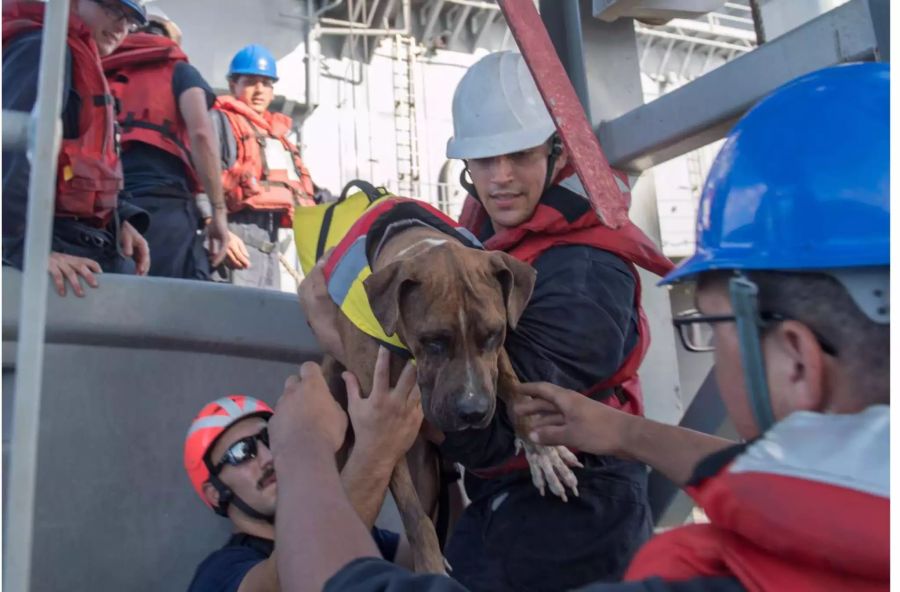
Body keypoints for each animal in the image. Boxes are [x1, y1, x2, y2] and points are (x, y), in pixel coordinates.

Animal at [298, 222, 580, 572]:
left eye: (493, 334)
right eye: (432, 342)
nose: (473, 412)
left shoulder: (496, 358)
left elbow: (516, 392)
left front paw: (542, 451)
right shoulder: (379, 424)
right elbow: (414, 514)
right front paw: (430, 565)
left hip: (427, 469)